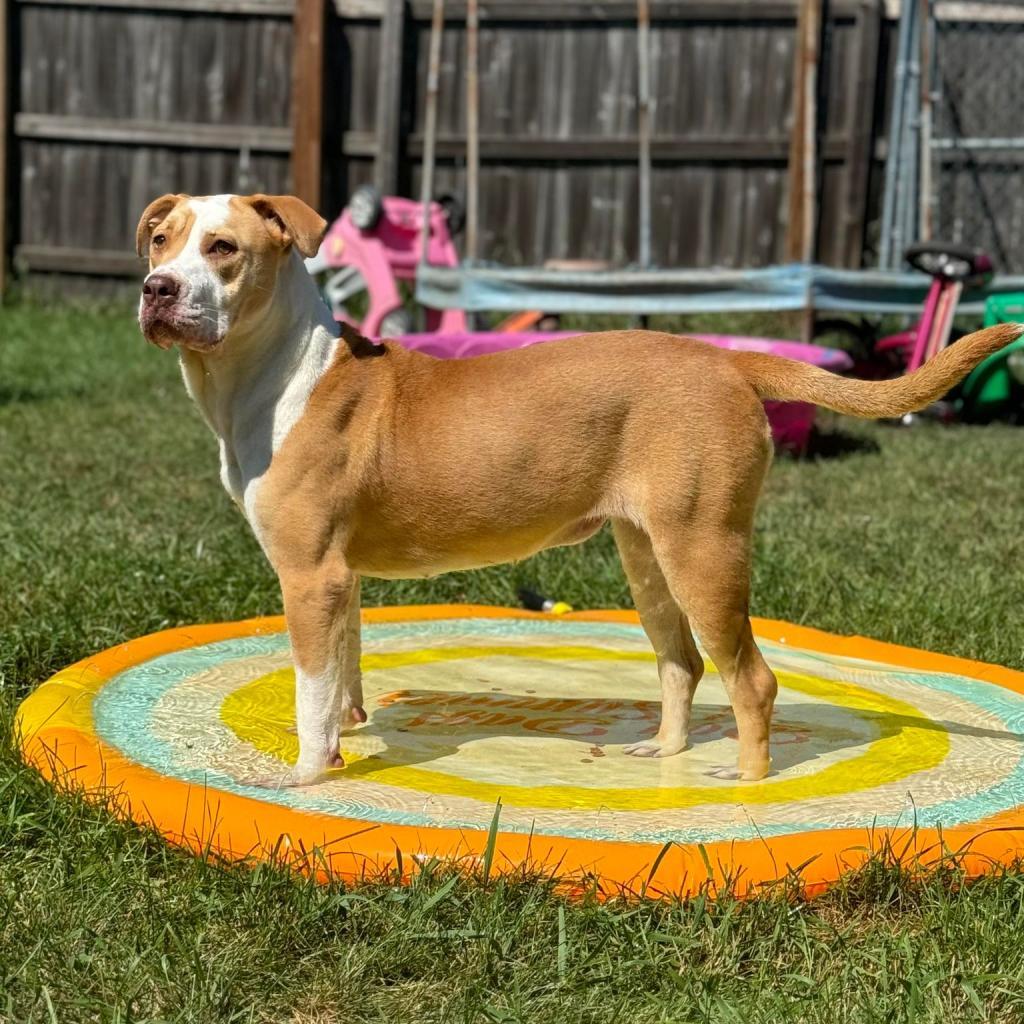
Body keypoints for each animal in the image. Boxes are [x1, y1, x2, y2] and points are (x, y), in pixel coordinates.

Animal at [138, 190, 1024, 782]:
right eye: (160, 241)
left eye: (222, 248)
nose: (156, 290)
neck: (275, 371)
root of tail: (724, 358)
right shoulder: (340, 577)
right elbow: (345, 673)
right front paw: (347, 738)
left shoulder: (309, 574)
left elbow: (311, 689)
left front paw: (305, 781)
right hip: (648, 554)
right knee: (681, 664)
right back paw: (663, 751)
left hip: (704, 551)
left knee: (751, 678)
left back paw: (742, 782)